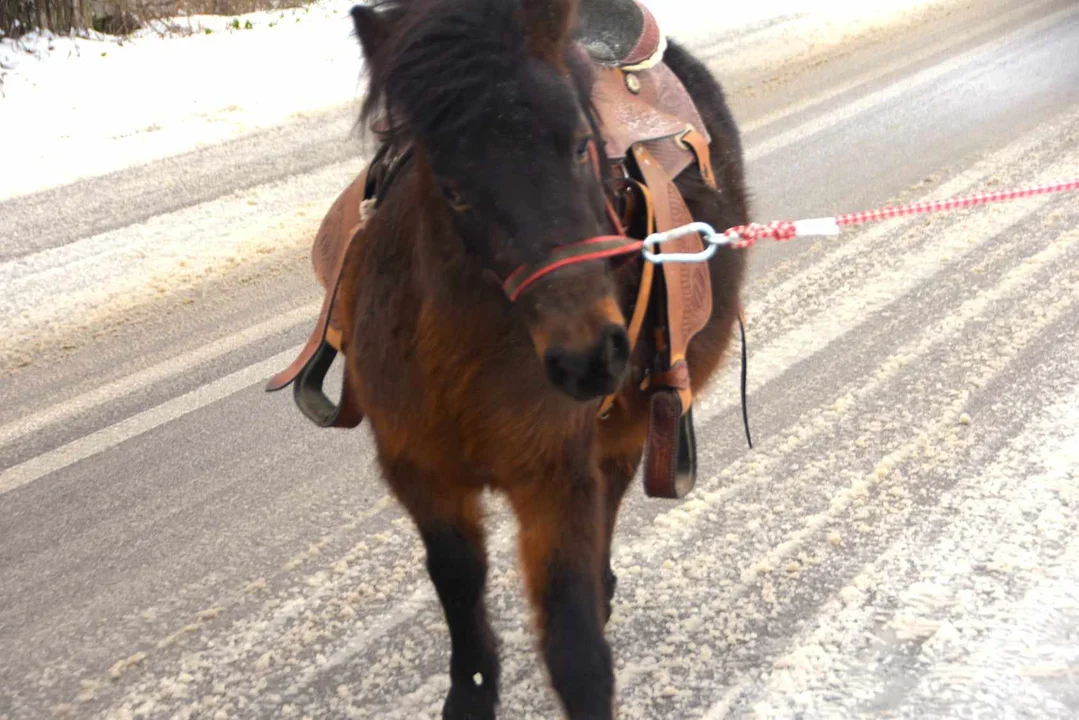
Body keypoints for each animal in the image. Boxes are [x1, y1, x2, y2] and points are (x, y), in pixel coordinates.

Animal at [336, 0, 750, 716]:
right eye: (453, 186)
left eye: (583, 145)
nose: (588, 358)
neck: (464, 357)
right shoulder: (420, 471)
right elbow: (458, 582)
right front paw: (471, 692)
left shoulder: (554, 474)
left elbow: (574, 645)